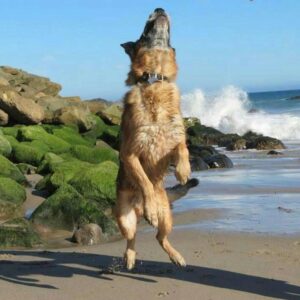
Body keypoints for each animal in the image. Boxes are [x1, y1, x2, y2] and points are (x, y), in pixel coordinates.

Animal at [115, 7, 190, 270]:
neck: (155, 78)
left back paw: (176, 256)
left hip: (168, 218)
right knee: (132, 237)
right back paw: (130, 256)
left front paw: (183, 171)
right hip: (124, 219)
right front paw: (150, 207)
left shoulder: (174, 137)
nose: (159, 8)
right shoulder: (130, 153)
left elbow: (183, 148)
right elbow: (144, 181)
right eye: (142, 32)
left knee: (160, 237)